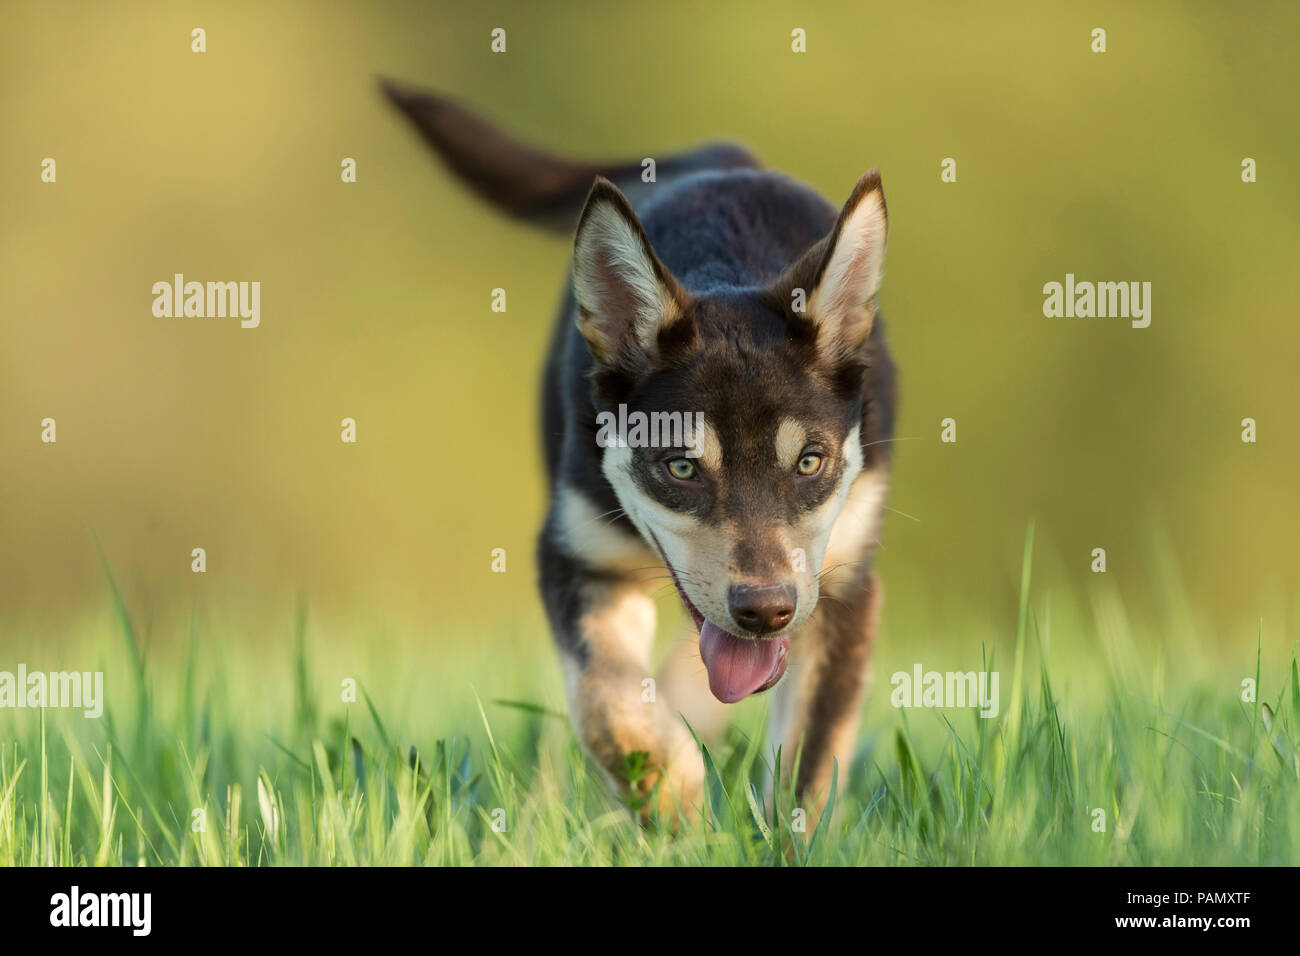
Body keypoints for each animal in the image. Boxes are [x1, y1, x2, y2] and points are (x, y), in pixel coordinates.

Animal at [379, 80, 899, 822]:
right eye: (680, 467)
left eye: (810, 463)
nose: (765, 609)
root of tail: (724, 157)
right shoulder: (579, 555)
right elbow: (609, 706)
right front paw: (670, 798)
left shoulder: (842, 587)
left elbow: (808, 765)